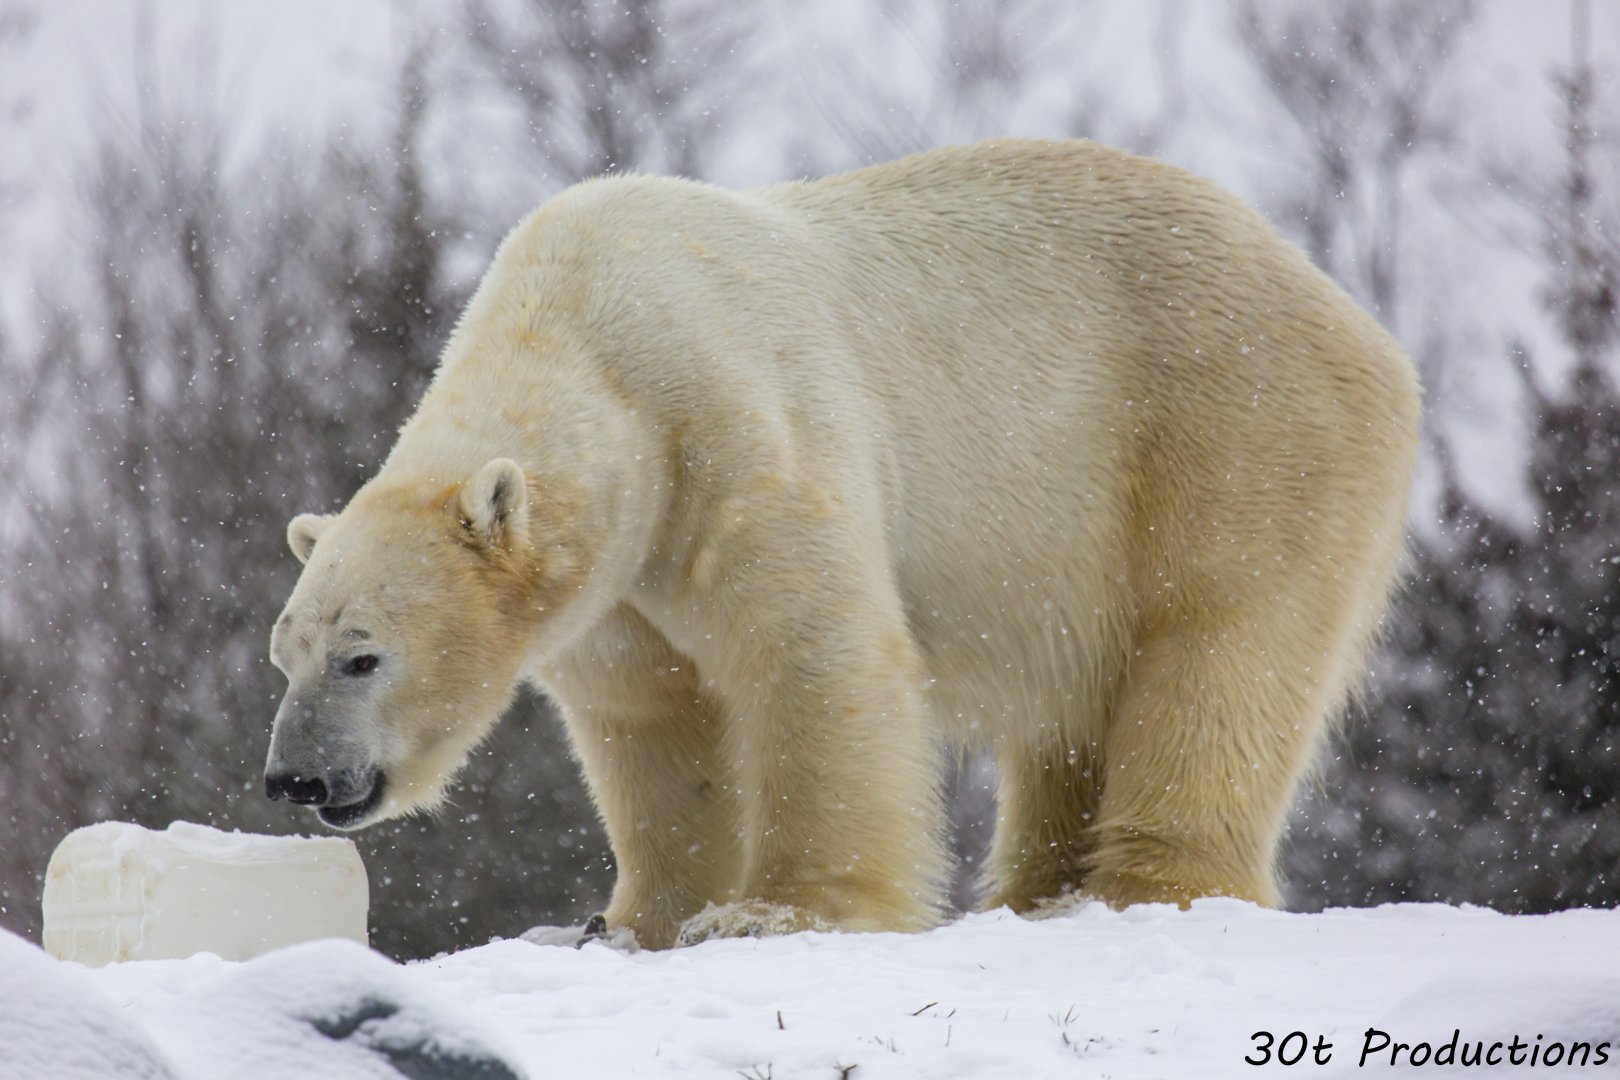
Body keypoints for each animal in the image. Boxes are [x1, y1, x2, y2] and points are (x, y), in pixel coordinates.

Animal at [264, 138, 1420, 949]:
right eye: (286, 655)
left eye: (363, 655)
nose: (295, 780)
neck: (593, 335)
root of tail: (1364, 330)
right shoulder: (621, 580)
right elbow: (650, 721)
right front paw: (624, 922)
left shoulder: (735, 432)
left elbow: (808, 652)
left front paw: (772, 915)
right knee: (1072, 714)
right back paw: (1038, 892)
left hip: (1229, 439)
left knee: (1216, 653)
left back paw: (1144, 886)